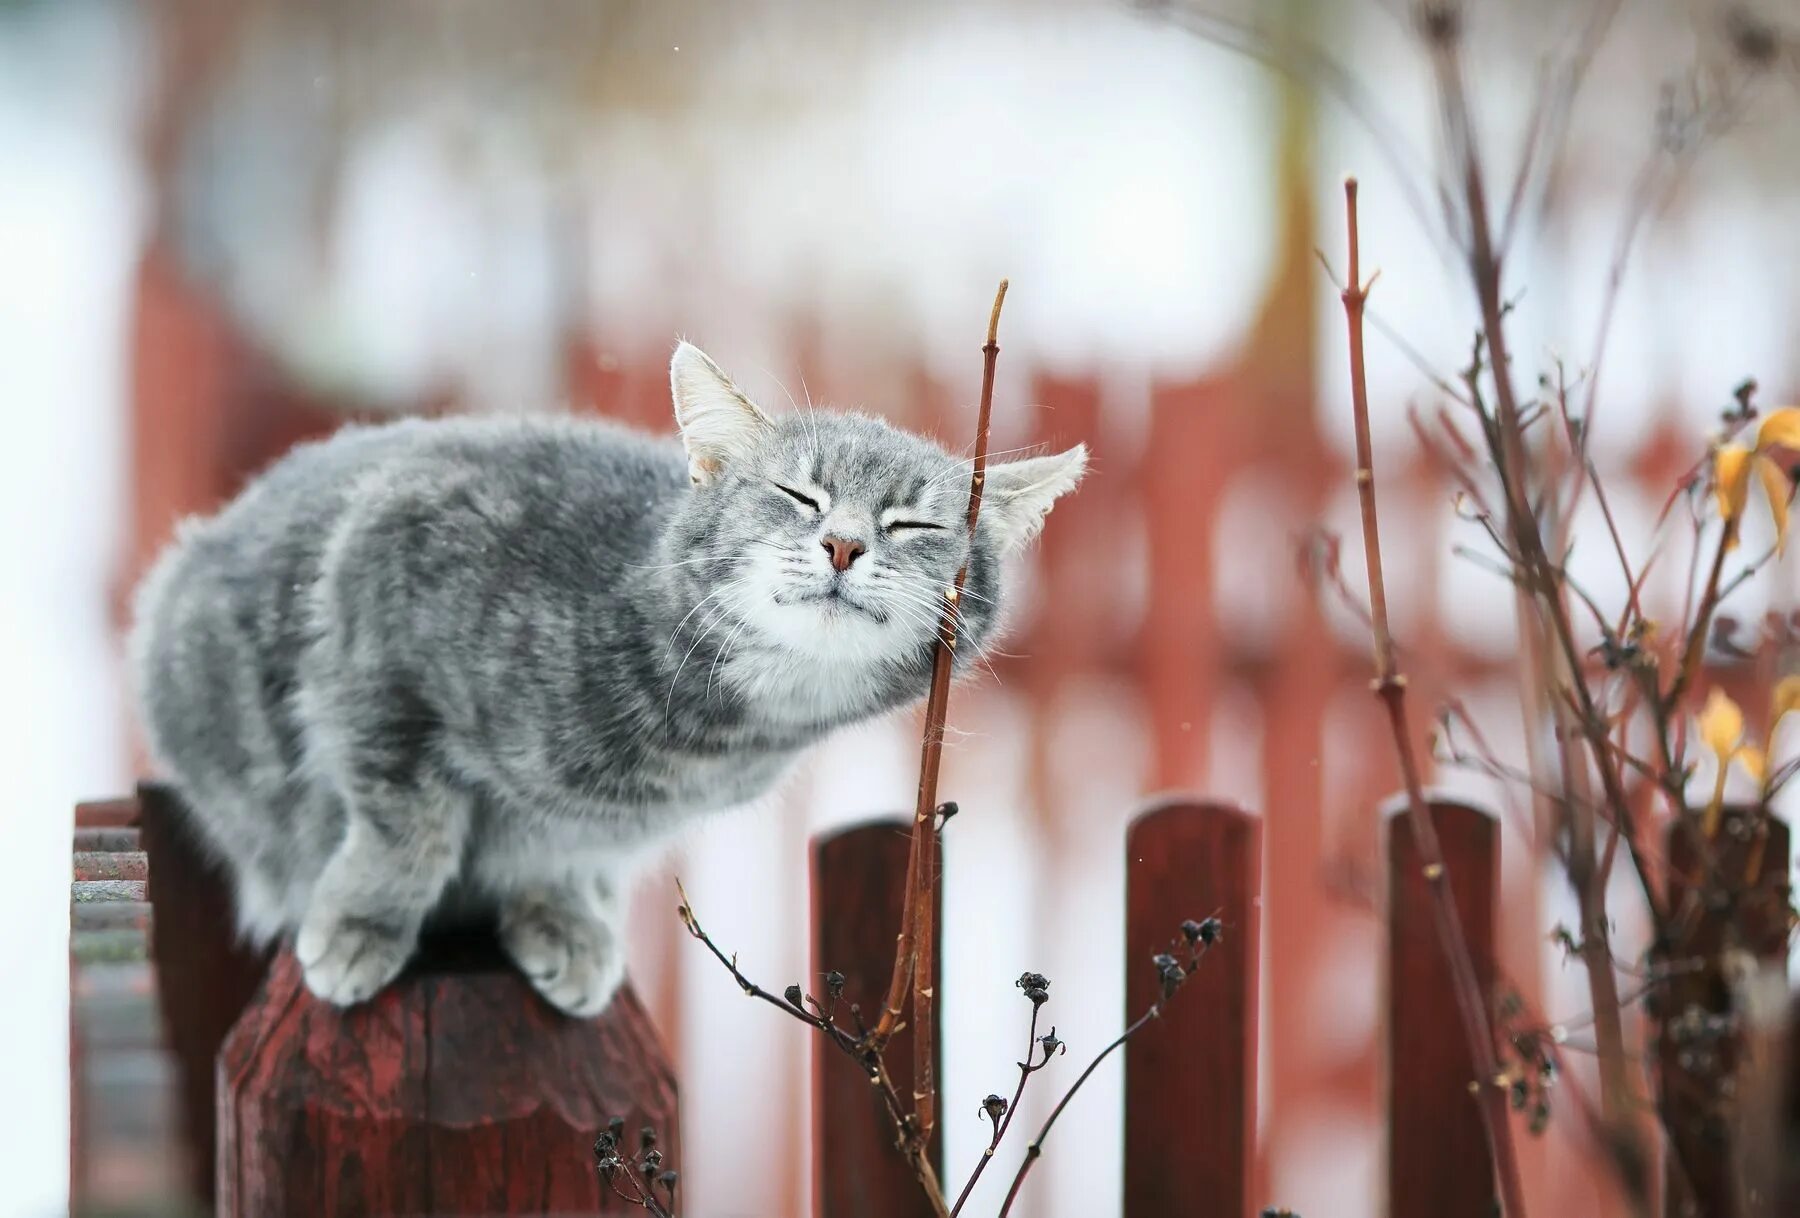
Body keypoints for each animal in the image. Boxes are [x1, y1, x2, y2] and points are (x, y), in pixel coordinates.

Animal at [133, 341, 1080, 1014]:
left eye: (913, 524)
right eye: (797, 496)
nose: (844, 543)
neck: (709, 734)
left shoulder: (604, 826)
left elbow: (563, 846)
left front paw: (560, 916)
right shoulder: (378, 622)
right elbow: (408, 828)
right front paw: (364, 921)